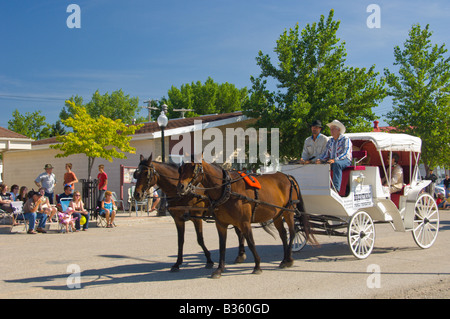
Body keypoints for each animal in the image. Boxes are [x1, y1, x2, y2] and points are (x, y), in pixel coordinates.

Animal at [177, 161, 316, 278]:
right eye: (180, 170)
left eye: (194, 170)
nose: (181, 187)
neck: (227, 189)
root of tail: (288, 176)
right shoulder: (221, 224)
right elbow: (222, 246)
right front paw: (219, 269)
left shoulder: (244, 223)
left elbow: (251, 242)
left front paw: (257, 266)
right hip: (277, 214)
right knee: (283, 235)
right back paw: (285, 259)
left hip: (289, 211)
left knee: (292, 233)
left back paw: (289, 259)